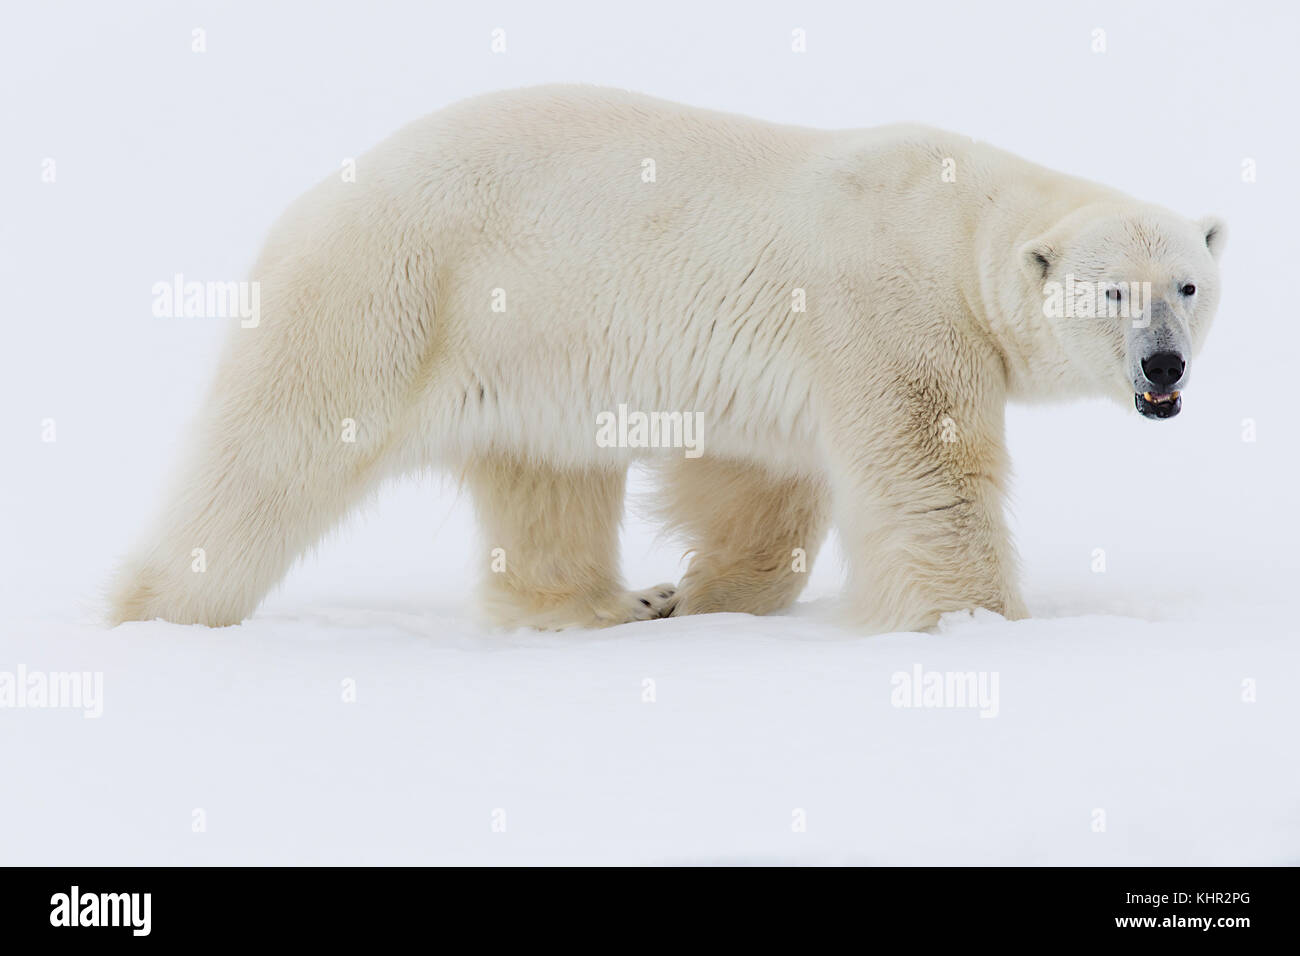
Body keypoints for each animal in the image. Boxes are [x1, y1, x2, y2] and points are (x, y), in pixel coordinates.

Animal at [108, 85, 1226, 633]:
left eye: (1186, 284)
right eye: (1109, 292)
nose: (1163, 369)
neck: (957, 219)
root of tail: (311, 200)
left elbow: (760, 485)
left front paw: (696, 595)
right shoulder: (888, 307)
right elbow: (926, 472)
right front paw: (978, 623)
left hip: (523, 345)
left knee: (548, 480)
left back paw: (600, 607)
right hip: (389, 293)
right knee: (271, 456)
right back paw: (155, 611)